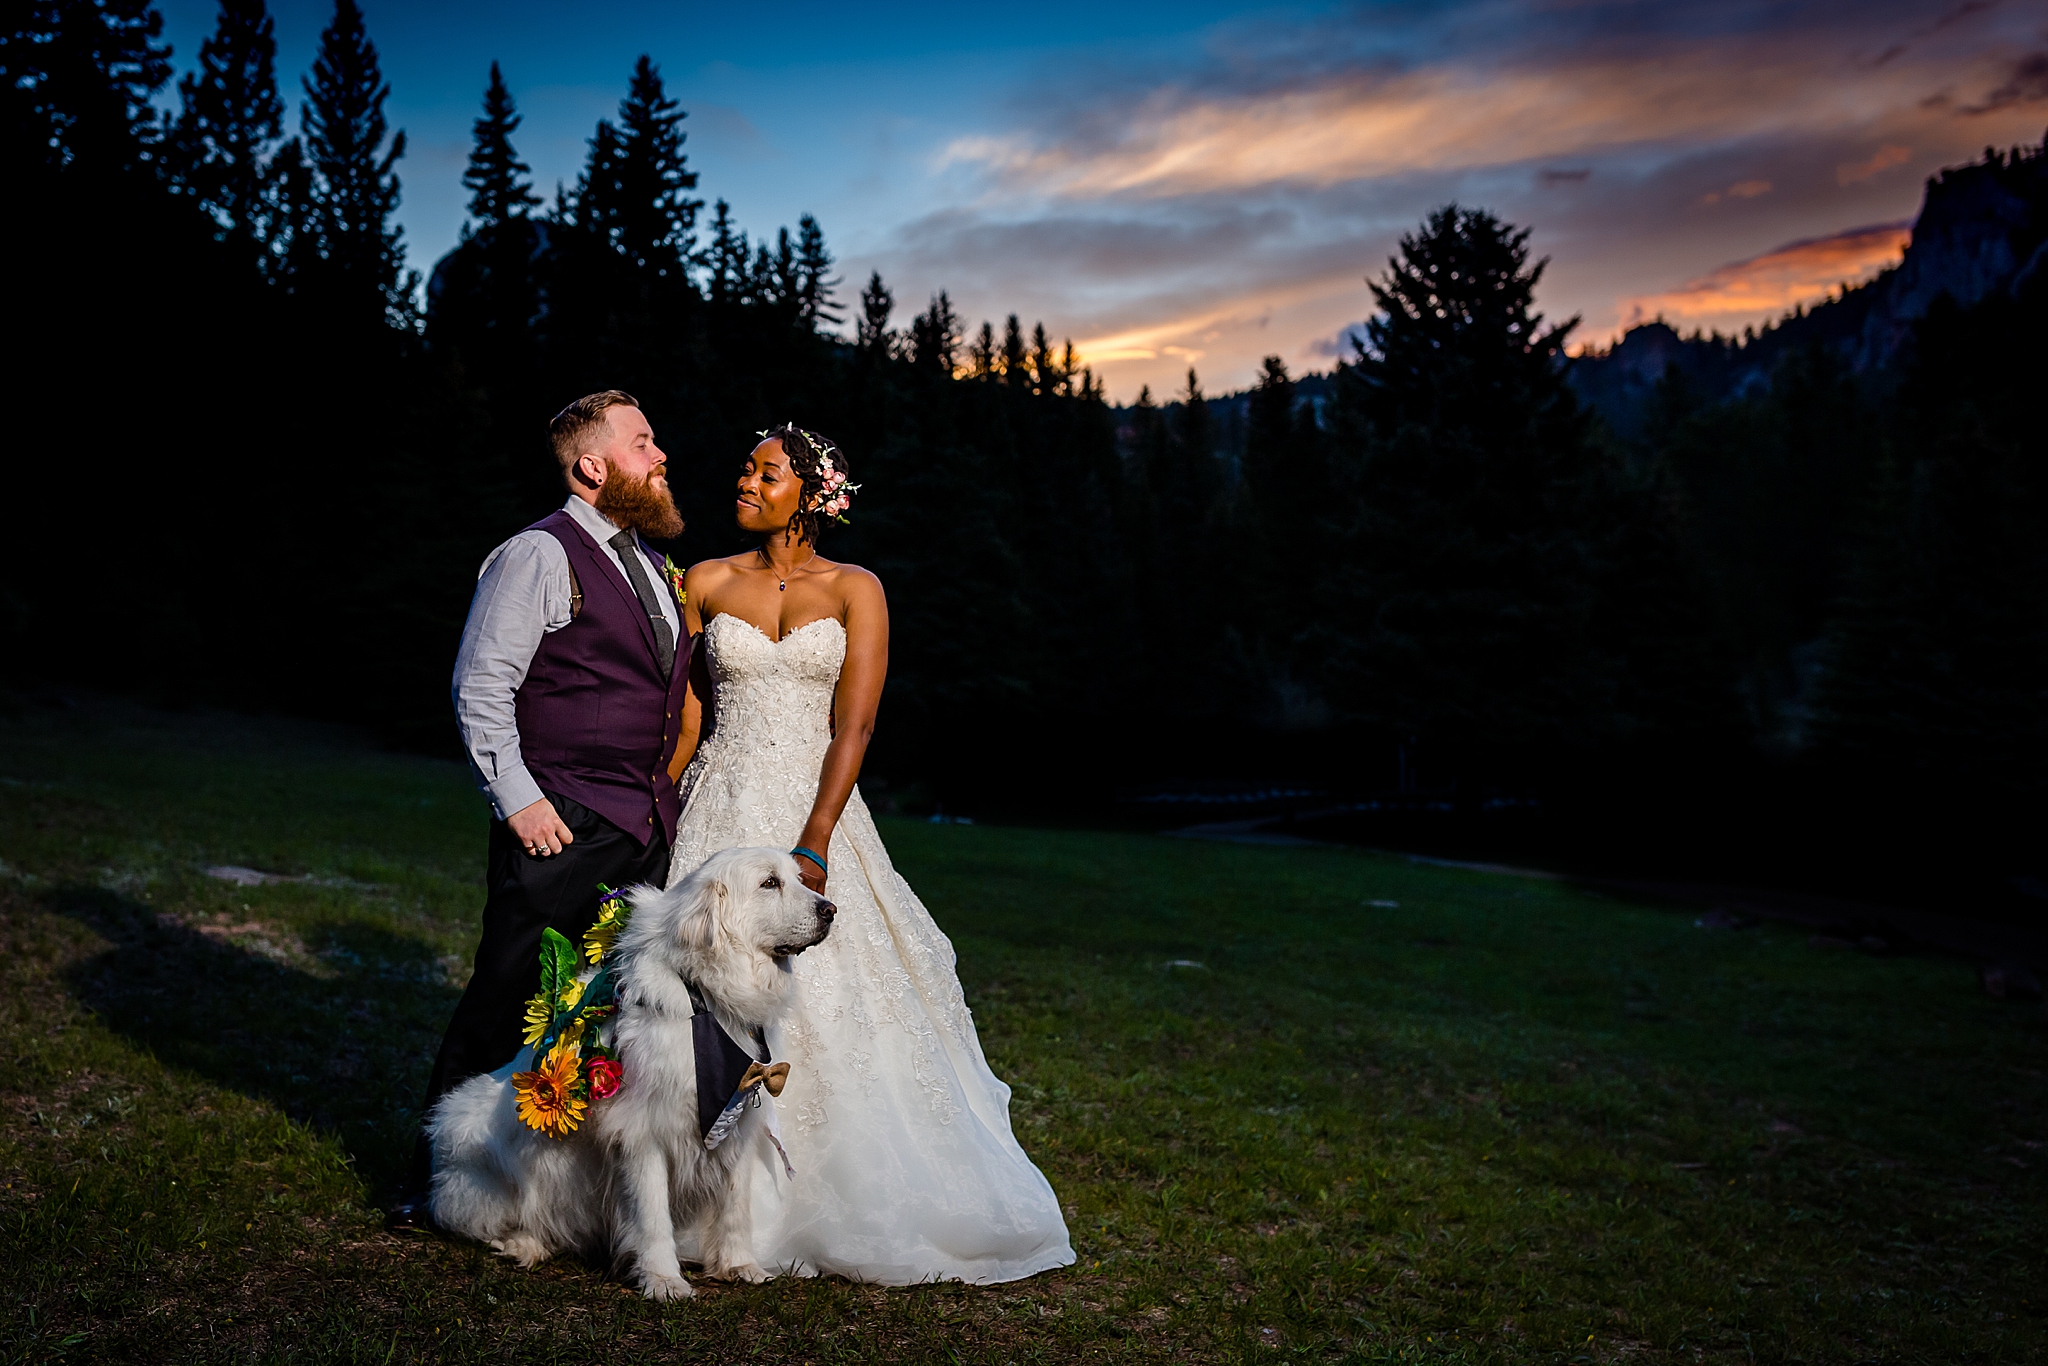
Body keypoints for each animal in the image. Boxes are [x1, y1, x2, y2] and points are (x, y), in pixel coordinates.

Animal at [423, 843, 831, 1302]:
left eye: (799, 879)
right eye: (769, 883)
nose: (831, 909)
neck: (705, 996)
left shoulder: (736, 1120)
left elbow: (735, 1207)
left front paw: (740, 1265)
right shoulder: (643, 1131)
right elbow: (652, 1216)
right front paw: (663, 1280)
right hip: (479, 1141)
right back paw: (522, 1245)